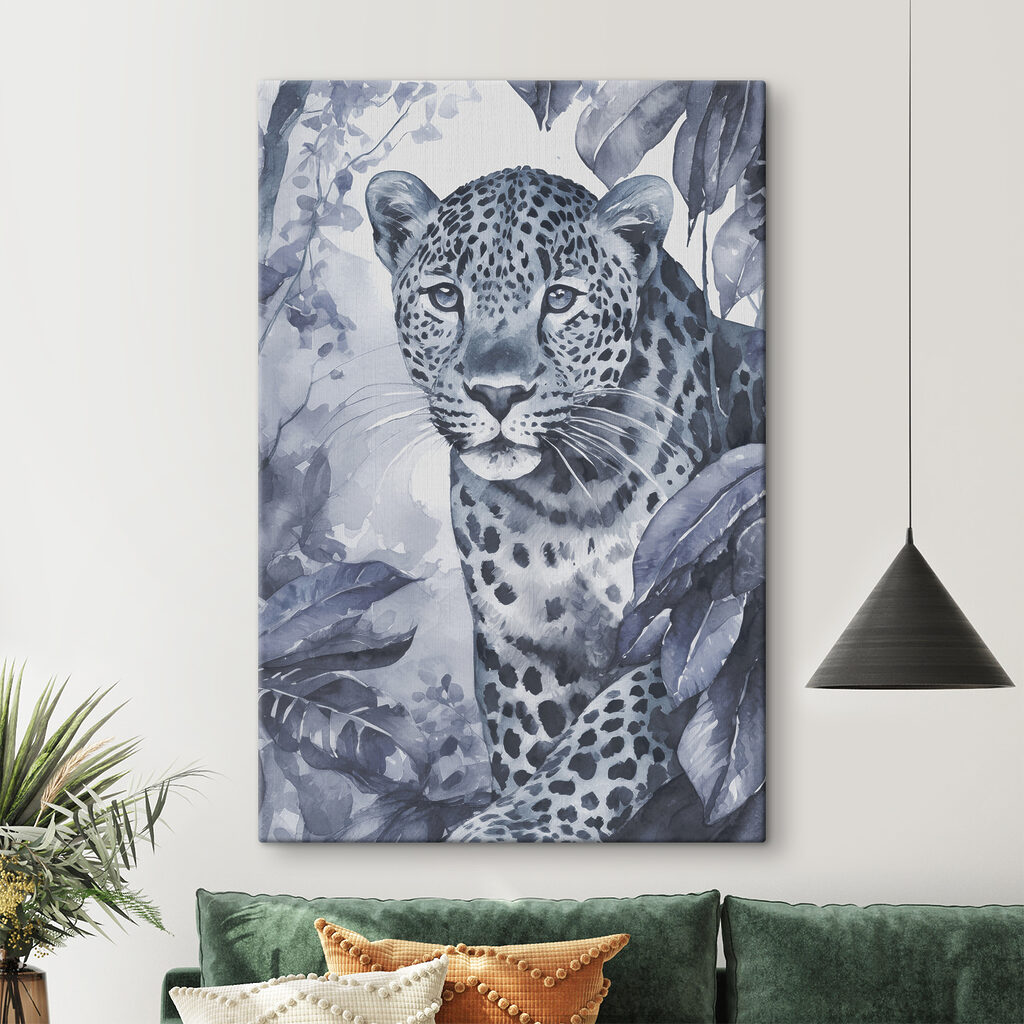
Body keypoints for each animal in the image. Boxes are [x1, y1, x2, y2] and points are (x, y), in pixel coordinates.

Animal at [365, 166, 764, 840]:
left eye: (559, 299)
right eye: (445, 297)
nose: (497, 394)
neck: (565, 496)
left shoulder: (688, 614)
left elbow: (607, 737)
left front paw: (512, 825)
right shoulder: (524, 646)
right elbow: (532, 741)